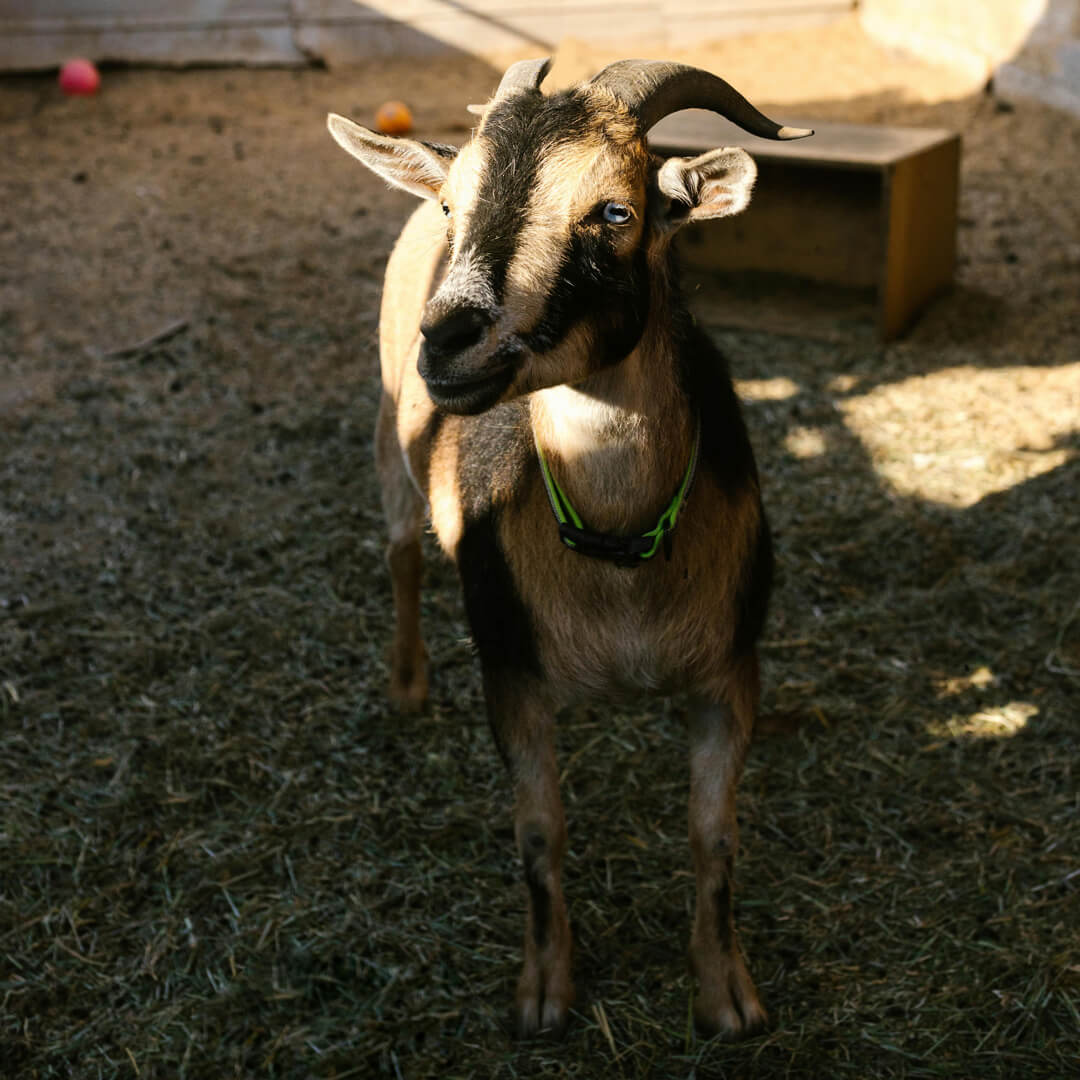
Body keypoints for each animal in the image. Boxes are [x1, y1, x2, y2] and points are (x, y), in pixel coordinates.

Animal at [328, 56, 812, 1036]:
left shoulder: (729, 670)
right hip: (388, 434)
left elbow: (715, 836)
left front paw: (727, 996)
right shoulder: (512, 670)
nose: (450, 340)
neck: (617, 554)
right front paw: (546, 991)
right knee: (399, 553)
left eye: (616, 211)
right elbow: (539, 831)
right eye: (458, 206)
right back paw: (406, 687)